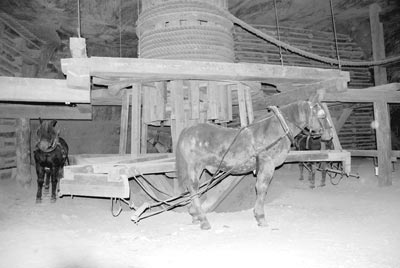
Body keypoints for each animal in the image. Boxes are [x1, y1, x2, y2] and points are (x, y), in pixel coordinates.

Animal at [177, 99, 332, 229]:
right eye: (322, 115)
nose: (329, 135)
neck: (277, 129)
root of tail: (188, 130)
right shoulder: (267, 165)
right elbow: (262, 189)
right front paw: (261, 217)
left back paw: (195, 215)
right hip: (194, 167)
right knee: (193, 189)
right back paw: (203, 220)